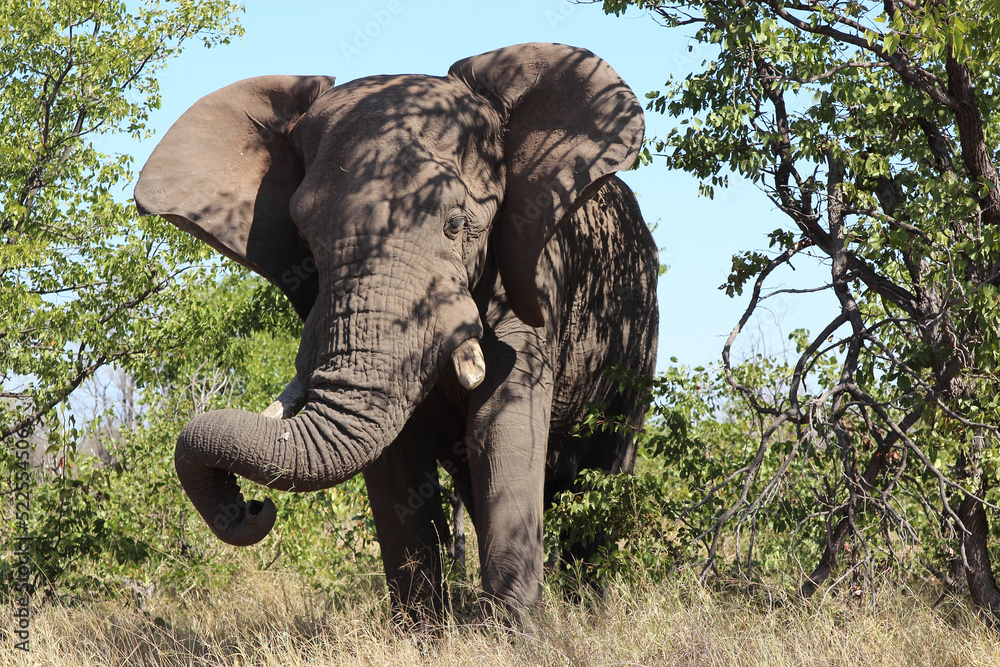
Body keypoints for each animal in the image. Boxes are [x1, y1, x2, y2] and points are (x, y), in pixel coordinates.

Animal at [134, 42, 658, 621]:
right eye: (305, 239)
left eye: (456, 224)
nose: (253, 504)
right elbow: (395, 464)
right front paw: (422, 631)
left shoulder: (534, 273)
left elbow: (503, 429)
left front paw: (514, 633)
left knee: (605, 466)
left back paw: (593, 607)